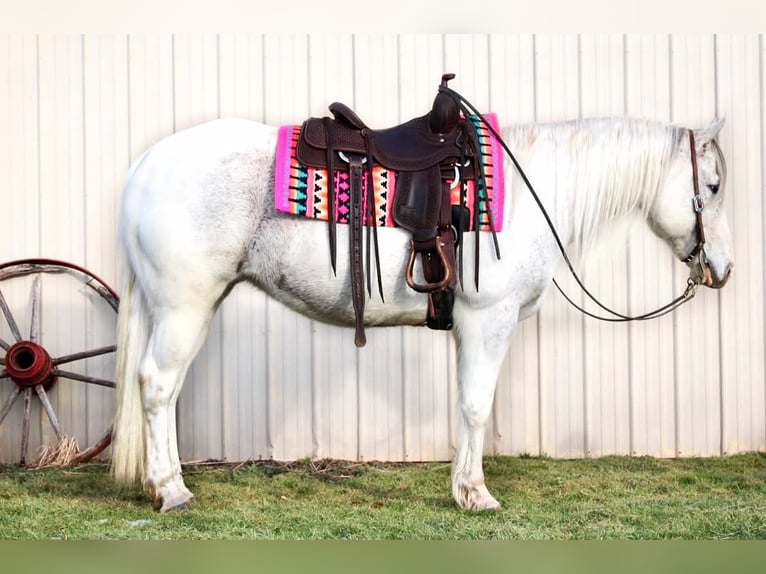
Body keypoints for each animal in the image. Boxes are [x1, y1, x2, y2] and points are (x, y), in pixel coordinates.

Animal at [111, 112, 736, 512]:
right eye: (711, 185)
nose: (723, 268)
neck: (526, 196)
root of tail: (144, 164)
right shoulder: (488, 320)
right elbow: (478, 407)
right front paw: (477, 495)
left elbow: (467, 406)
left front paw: (463, 488)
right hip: (185, 306)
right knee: (158, 386)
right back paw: (171, 491)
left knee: (164, 391)